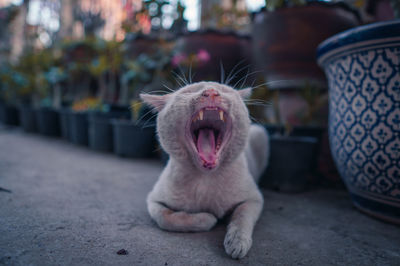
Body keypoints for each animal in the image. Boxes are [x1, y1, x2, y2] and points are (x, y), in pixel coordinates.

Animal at [141, 81, 268, 260]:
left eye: (224, 90)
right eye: (189, 91)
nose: (211, 92)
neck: (205, 178)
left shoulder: (254, 199)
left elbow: (241, 217)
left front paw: (237, 243)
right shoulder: (153, 201)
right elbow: (166, 218)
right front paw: (208, 218)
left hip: (260, 134)